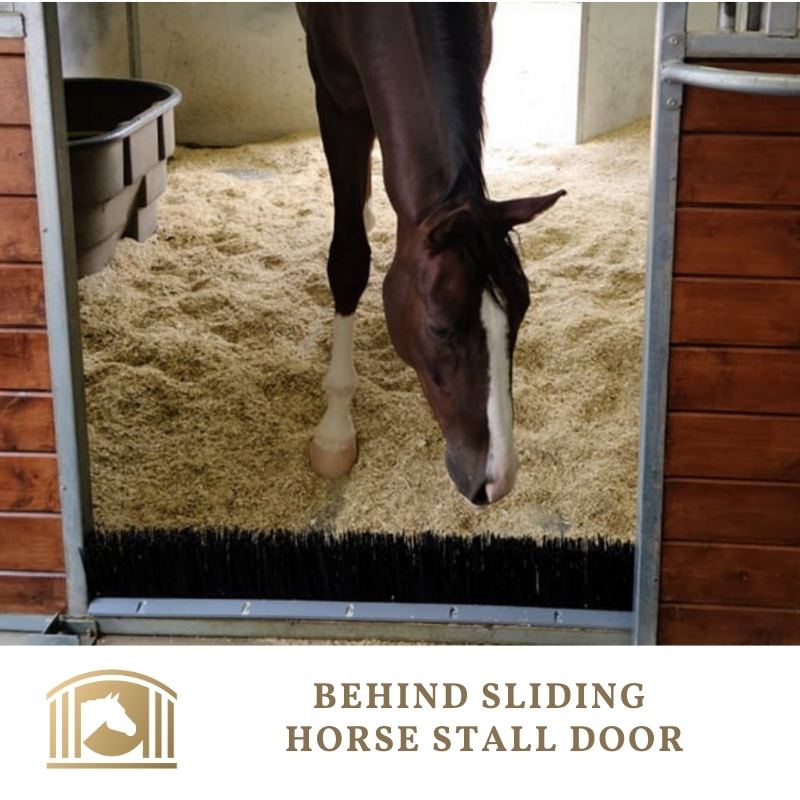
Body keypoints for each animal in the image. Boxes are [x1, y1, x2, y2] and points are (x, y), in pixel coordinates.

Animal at [299, 3, 565, 505]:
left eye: (521, 313)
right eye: (440, 327)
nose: (495, 482)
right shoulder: (336, 99)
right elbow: (348, 262)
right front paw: (335, 428)